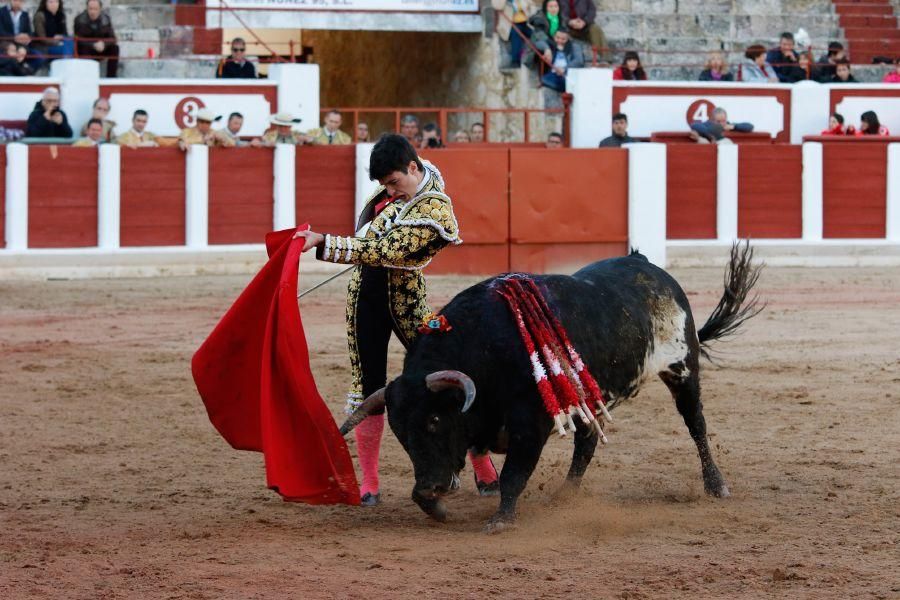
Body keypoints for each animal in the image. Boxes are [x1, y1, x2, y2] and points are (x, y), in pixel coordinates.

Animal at [342, 241, 764, 532]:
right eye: (399, 432)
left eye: (433, 420)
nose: (431, 486)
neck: (483, 348)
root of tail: (648, 267)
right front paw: (438, 507)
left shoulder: (531, 424)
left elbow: (513, 475)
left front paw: (500, 521)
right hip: (592, 397)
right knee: (587, 443)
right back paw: (566, 496)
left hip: (683, 369)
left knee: (696, 426)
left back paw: (716, 486)